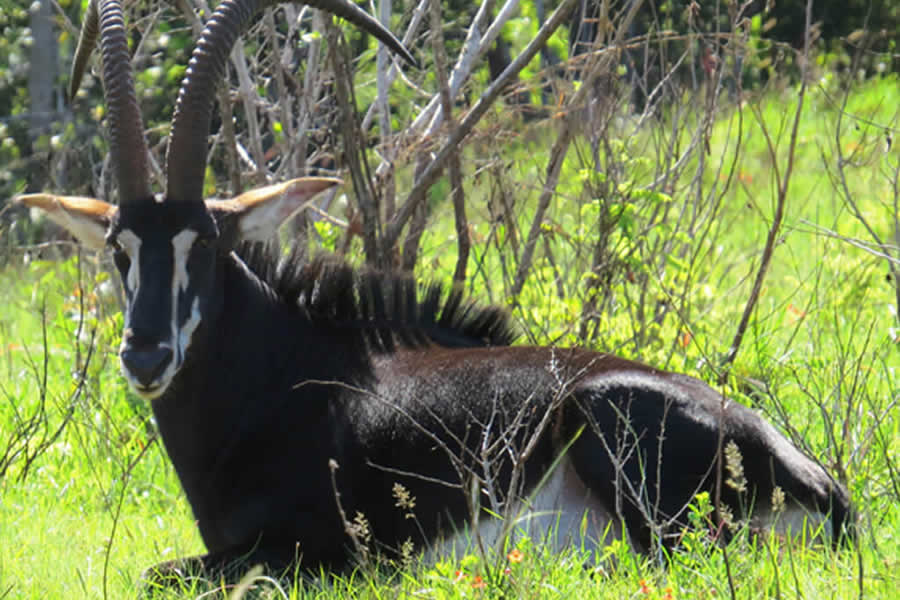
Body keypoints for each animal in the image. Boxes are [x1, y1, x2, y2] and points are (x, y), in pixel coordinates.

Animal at [19, 0, 852, 584]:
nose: (146, 357)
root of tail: (820, 484)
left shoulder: (315, 552)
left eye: (207, 244)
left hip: (622, 453)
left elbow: (156, 573)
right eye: (120, 249)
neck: (278, 378)